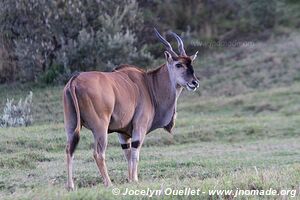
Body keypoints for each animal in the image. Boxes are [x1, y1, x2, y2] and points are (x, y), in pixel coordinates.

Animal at [63, 28, 199, 189]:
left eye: (191, 63)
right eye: (178, 65)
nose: (194, 83)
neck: (148, 84)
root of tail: (75, 80)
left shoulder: (122, 133)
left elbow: (127, 154)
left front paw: (129, 179)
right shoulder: (139, 126)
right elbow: (135, 153)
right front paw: (134, 179)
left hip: (71, 126)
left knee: (69, 149)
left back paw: (70, 185)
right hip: (100, 128)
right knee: (98, 154)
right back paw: (108, 183)